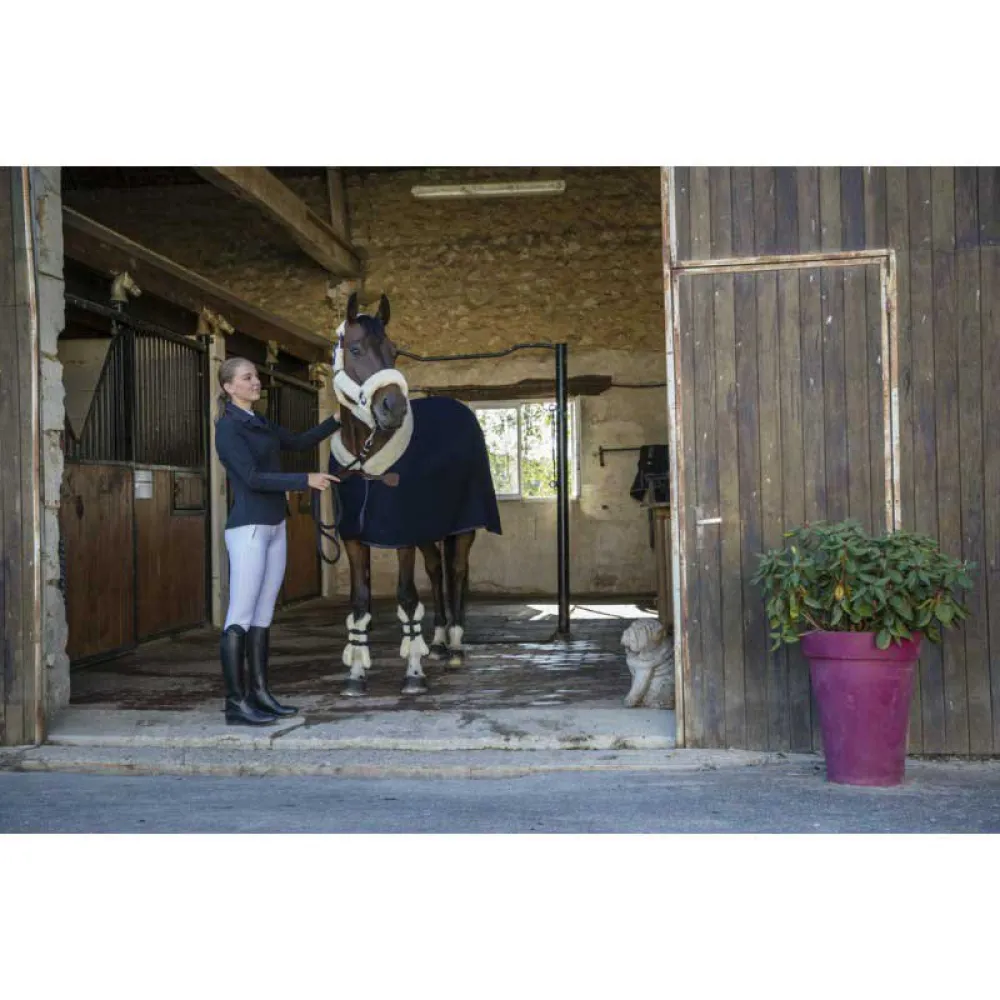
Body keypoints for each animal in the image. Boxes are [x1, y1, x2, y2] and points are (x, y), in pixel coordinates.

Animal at [322, 292, 502, 696]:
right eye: (355, 348)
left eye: (394, 351)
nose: (393, 408)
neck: (366, 460)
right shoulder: (355, 538)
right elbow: (360, 603)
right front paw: (355, 675)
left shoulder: (402, 535)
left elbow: (406, 597)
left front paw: (413, 674)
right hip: (429, 531)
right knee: (436, 571)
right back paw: (437, 640)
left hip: (463, 526)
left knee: (457, 570)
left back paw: (455, 645)